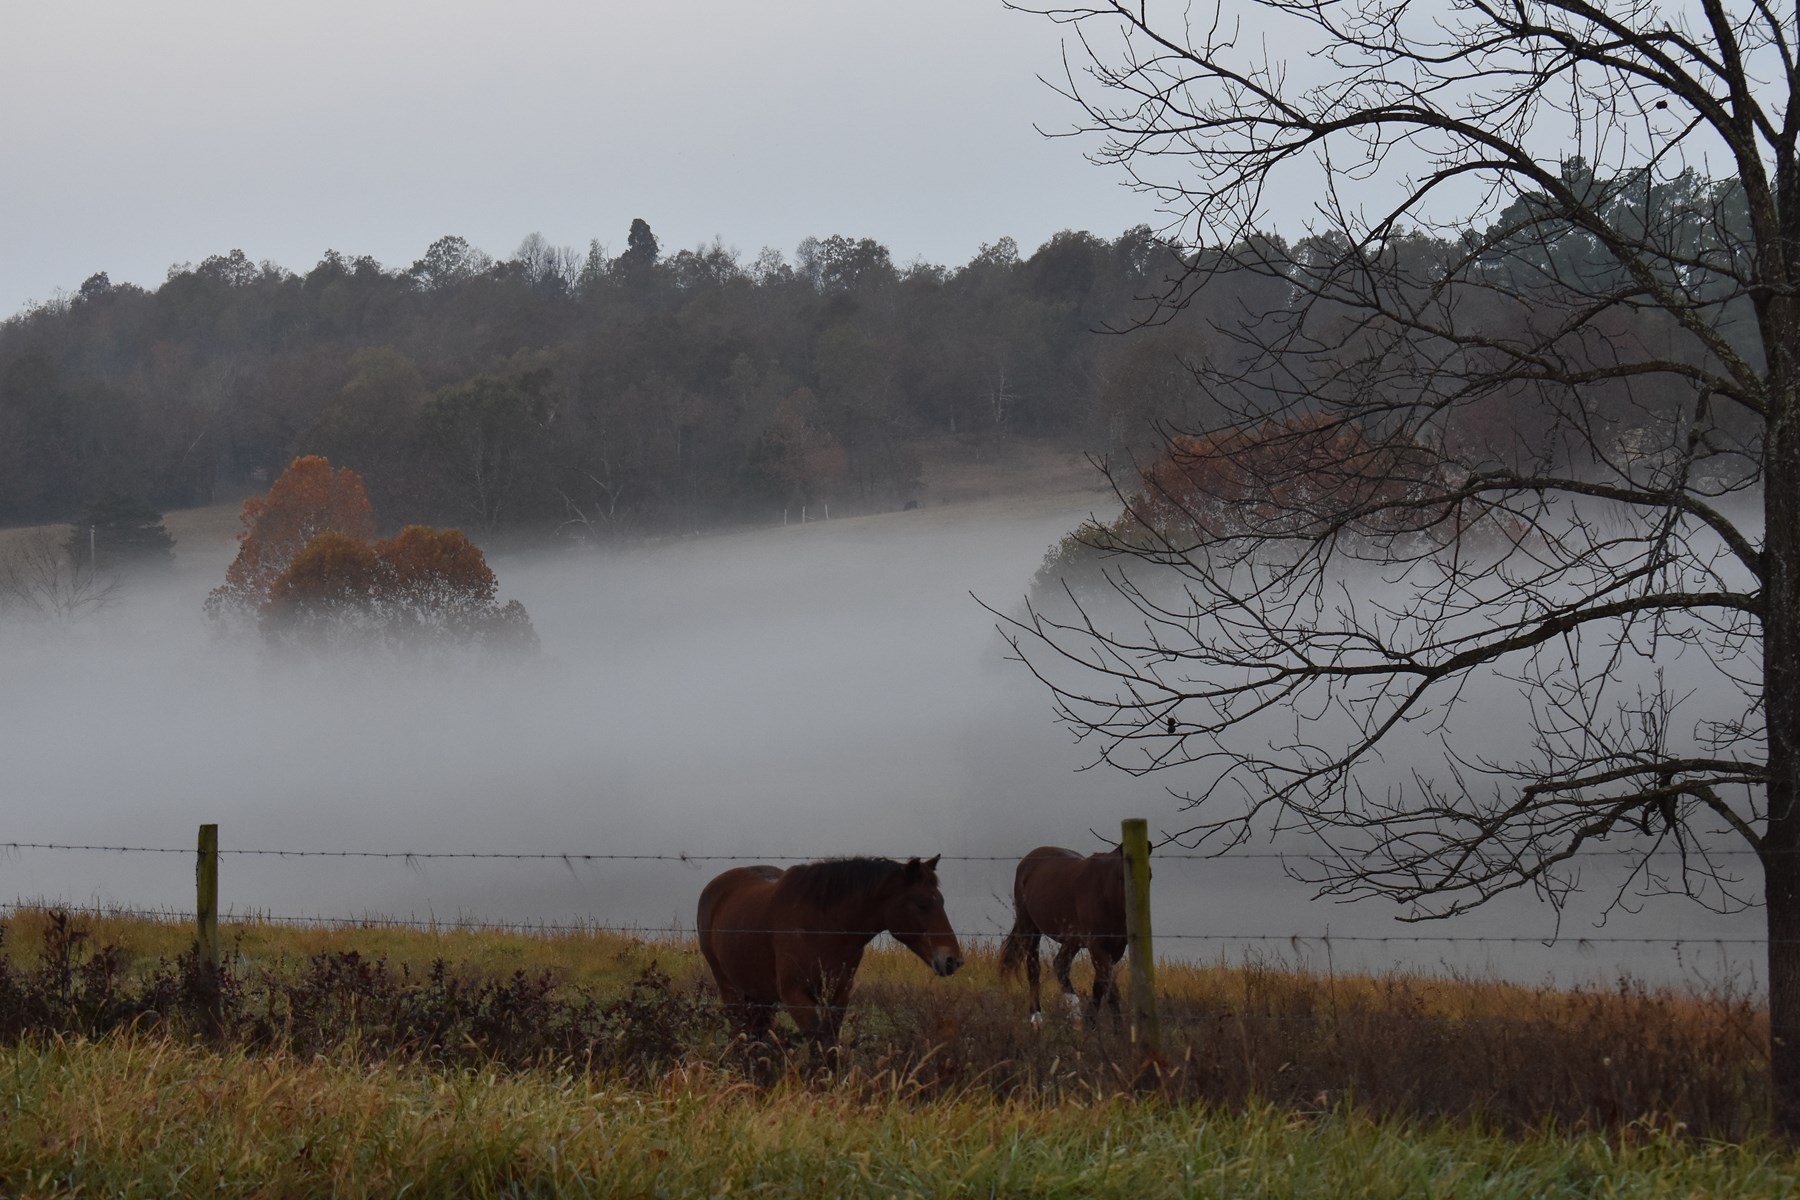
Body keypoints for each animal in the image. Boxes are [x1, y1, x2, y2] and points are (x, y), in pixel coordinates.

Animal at [696, 855, 964, 1053]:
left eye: (941, 901)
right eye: (922, 903)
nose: (953, 960)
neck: (823, 925)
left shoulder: (839, 995)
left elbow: (830, 1045)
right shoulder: (796, 995)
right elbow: (818, 1045)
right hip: (730, 988)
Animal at [999, 844, 1134, 1026]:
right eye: (1122, 877)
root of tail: (1027, 859)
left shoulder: (1116, 949)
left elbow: (1100, 986)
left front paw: (1091, 1022)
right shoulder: (1096, 946)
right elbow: (1110, 989)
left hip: (1071, 941)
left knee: (1060, 964)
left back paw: (1075, 1014)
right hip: (1030, 927)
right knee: (1034, 969)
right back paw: (1037, 1018)